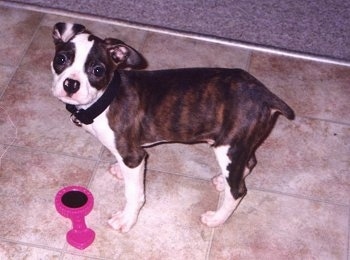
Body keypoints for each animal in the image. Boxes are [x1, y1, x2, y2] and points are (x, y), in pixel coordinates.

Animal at [50, 22, 294, 234]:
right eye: (60, 59)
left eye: (98, 70)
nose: (71, 84)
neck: (106, 98)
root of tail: (264, 94)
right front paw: (119, 170)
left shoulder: (133, 155)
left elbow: (134, 193)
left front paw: (126, 219)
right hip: (240, 144)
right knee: (250, 162)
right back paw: (221, 182)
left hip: (228, 148)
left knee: (238, 191)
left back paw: (217, 218)